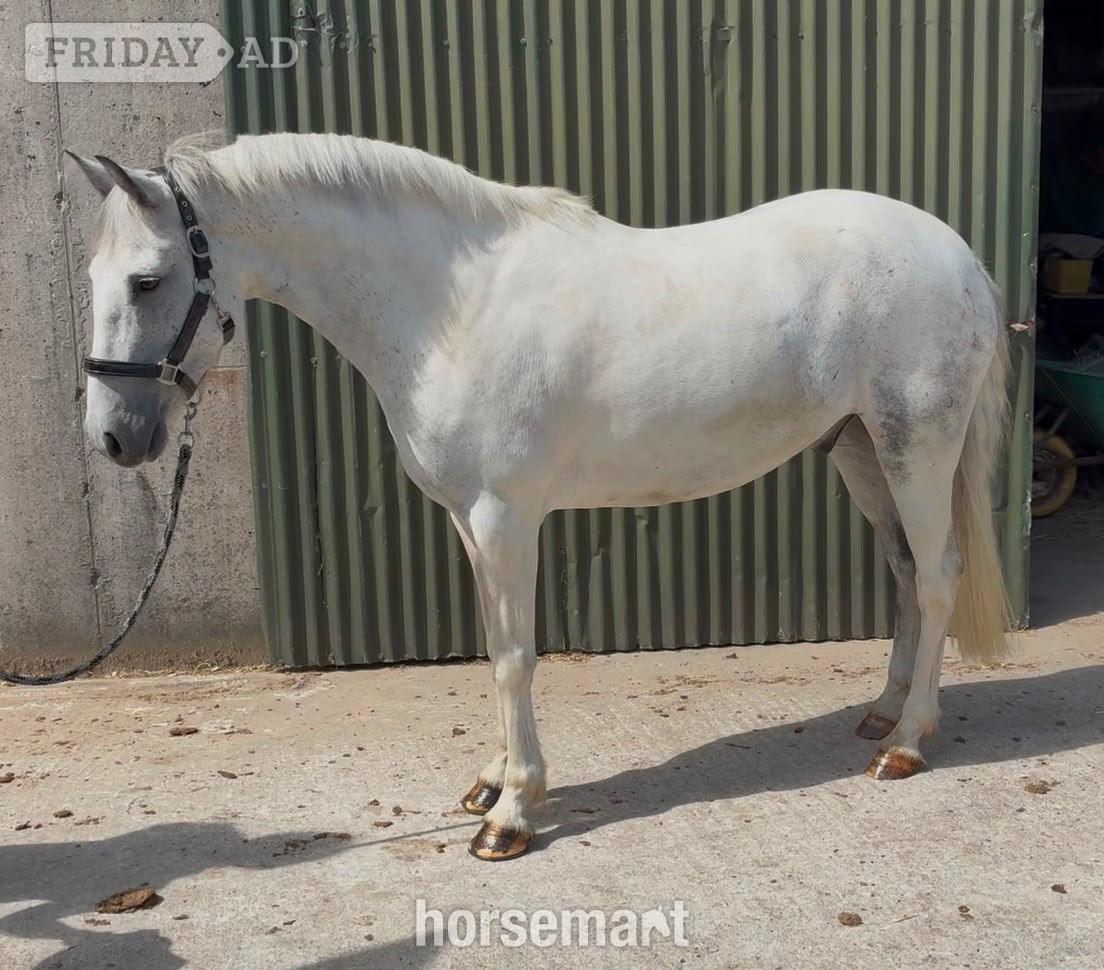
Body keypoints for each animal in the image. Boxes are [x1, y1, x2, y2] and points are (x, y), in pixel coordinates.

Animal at [66, 131, 1010, 861]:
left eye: (147, 280)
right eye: (95, 276)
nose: (114, 438)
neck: (449, 308)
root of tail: (957, 254)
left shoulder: (506, 516)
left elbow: (517, 658)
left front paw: (514, 814)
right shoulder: (468, 520)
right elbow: (494, 648)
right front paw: (491, 784)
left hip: (916, 448)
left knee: (936, 577)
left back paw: (907, 742)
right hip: (859, 450)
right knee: (904, 574)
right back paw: (881, 714)